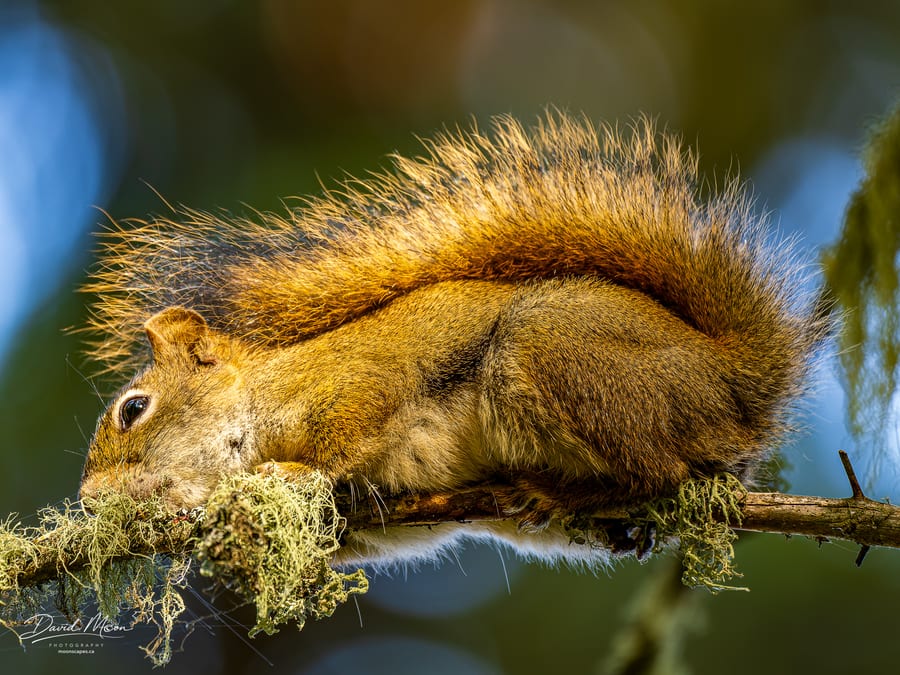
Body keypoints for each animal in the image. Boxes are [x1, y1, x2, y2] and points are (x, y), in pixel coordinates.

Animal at [78, 113, 829, 566]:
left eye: (133, 409)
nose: (86, 501)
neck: (254, 399)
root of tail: (733, 378)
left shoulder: (352, 384)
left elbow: (344, 432)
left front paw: (288, 474)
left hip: (551, 350)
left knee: (658, 470)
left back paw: (559, 492)